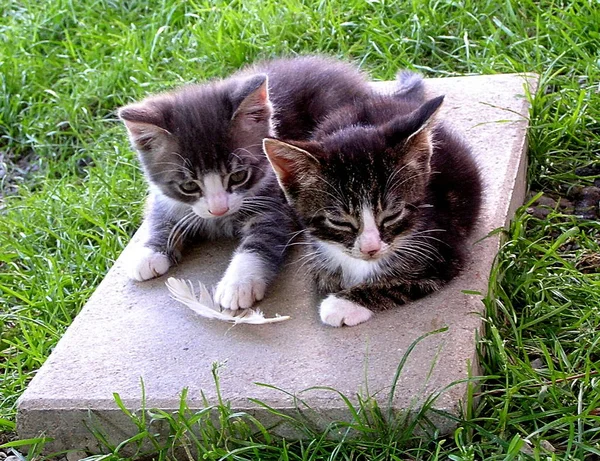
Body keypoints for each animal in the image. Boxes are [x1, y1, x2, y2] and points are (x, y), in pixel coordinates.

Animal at [118, 56, 370, 310]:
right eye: (188, 186)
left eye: (238, 176)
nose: (218, 208)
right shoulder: (163, 196)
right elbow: (159, 214)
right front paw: (149, 253)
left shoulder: (277, 203)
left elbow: (261, 241)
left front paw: (238, 284)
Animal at [262, 72, 482, 326]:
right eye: (338, 221)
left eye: (393, 214)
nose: (371, 249)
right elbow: (323, 273)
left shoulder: (444, 251)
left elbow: (401, 282)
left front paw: (343, 304)